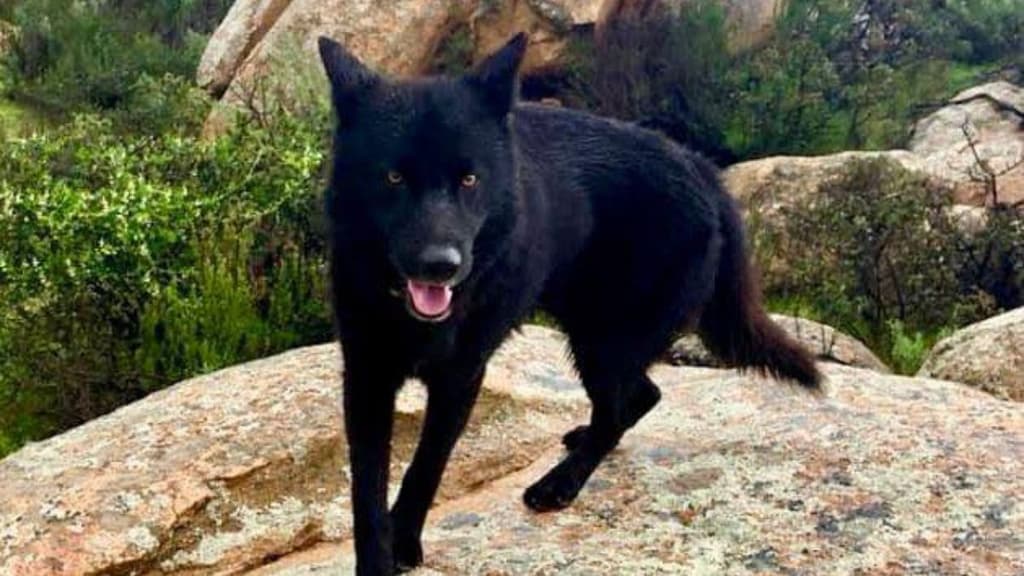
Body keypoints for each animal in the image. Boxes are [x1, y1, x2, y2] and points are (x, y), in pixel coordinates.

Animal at [318, 32, 821, 575]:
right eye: (393, 178)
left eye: (470, 179)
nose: (440, 265)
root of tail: (700, 167)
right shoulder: (366, 378)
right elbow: (366, 492)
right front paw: (378, 556)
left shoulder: (460, 379)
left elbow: (425, 467)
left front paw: (404, 540)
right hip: (593, 335)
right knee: (639, 398)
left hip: (602, 342)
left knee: (621, 407)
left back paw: (561, 482)